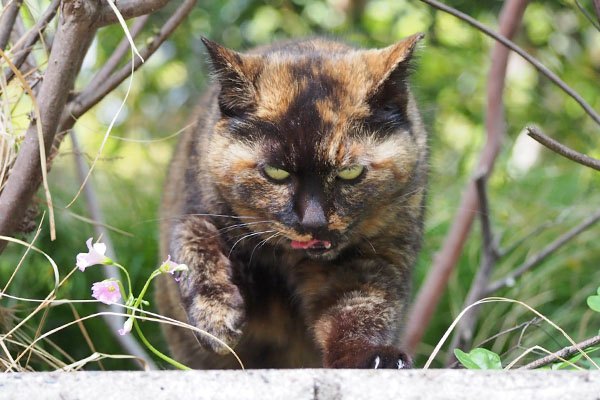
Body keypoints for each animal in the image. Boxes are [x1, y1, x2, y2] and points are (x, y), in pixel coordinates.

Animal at [155, 34, 426, 368]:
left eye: (350, 173)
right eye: (275, 172)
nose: (314, 222)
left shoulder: (375, 259)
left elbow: (359, 313)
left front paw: (373, 358)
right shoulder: (197, 210)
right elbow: (193, 244)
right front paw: (216, 319)